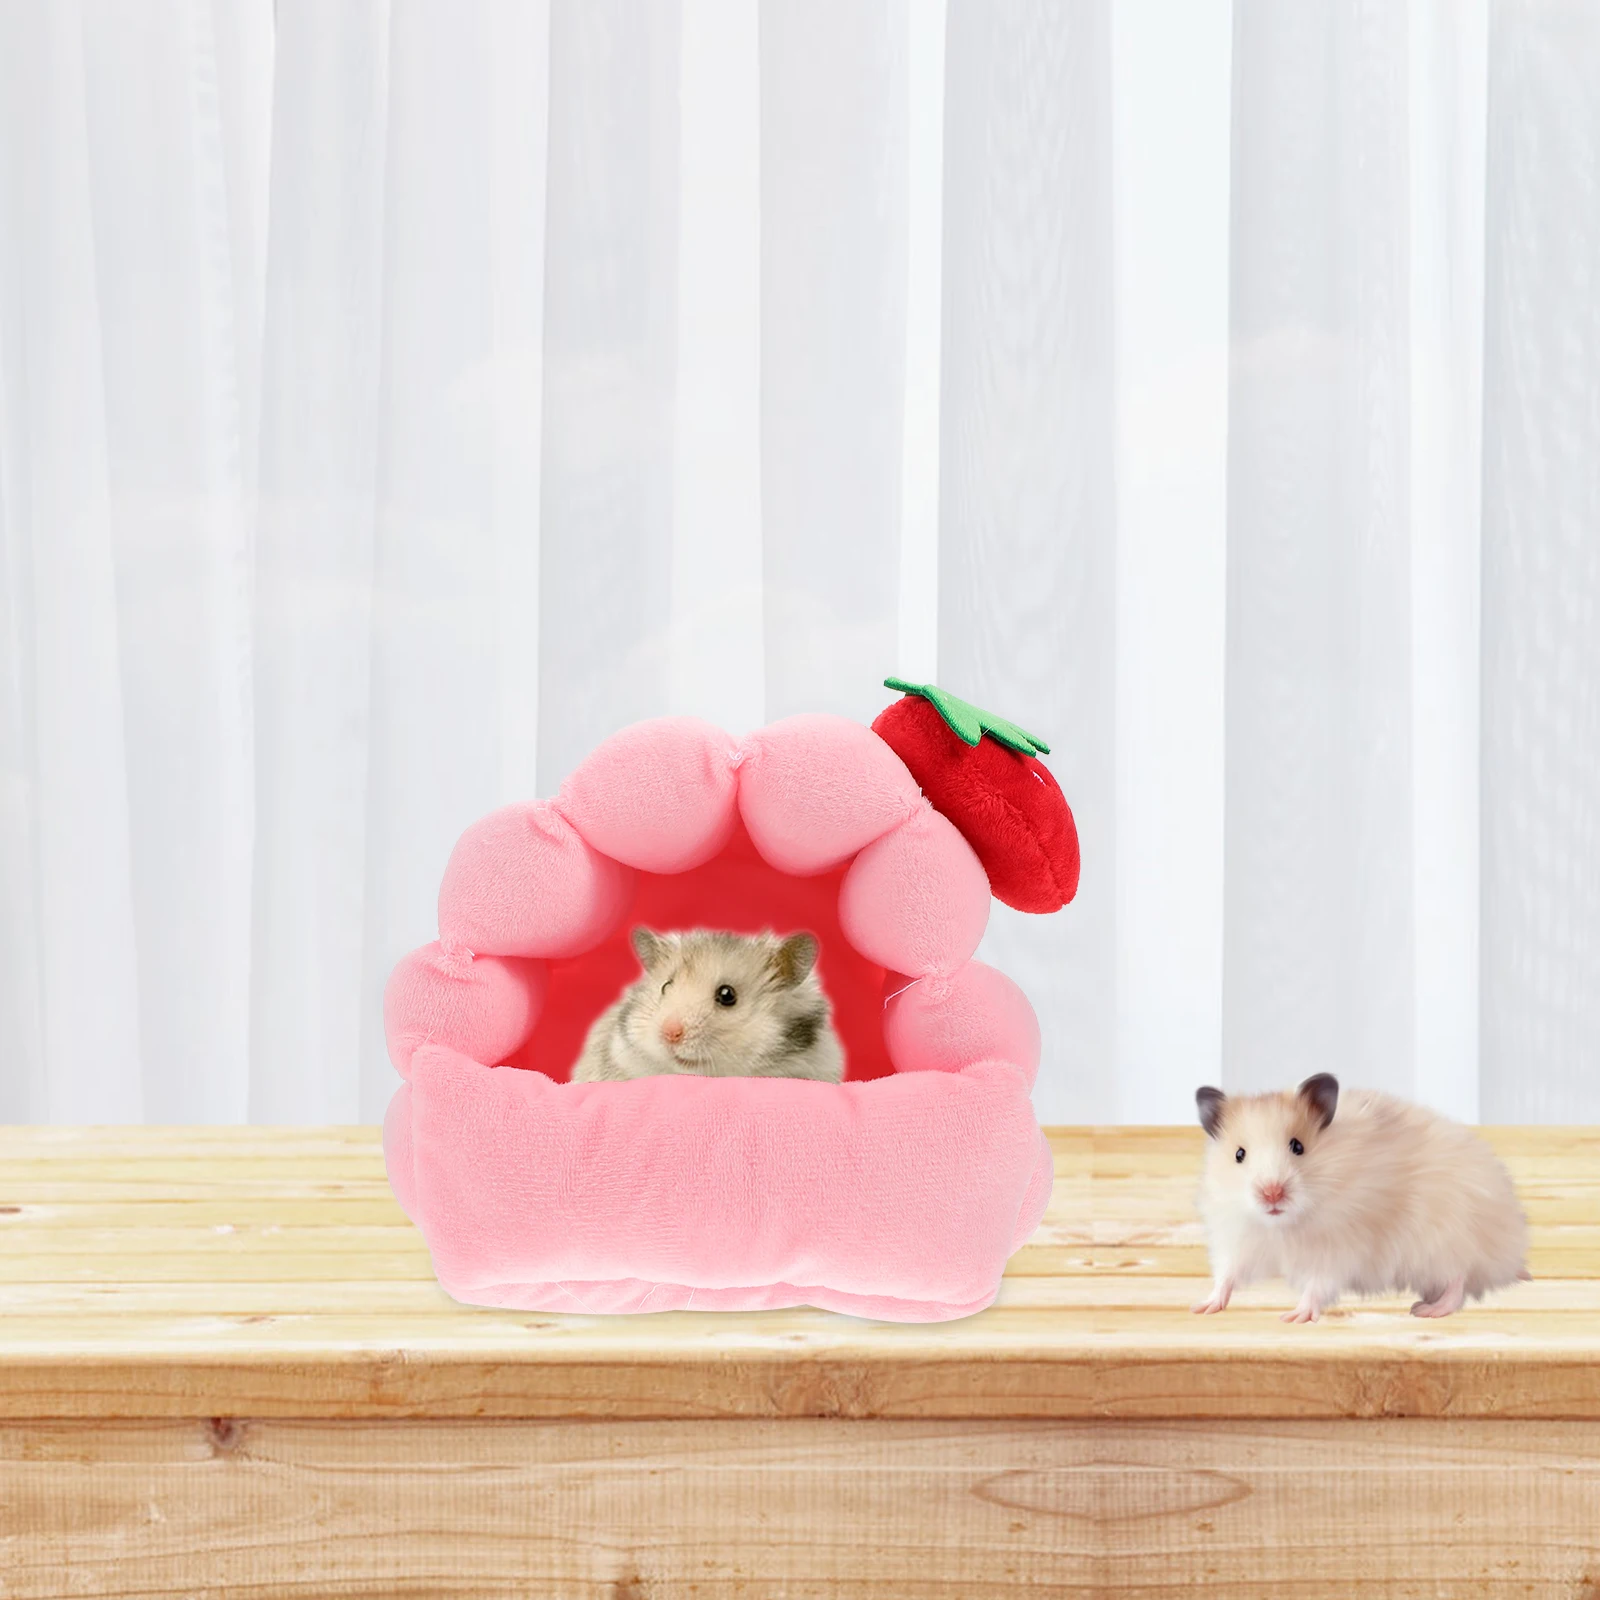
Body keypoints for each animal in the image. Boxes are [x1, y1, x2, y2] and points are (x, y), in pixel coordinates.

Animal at [1191, 1073, 1529, 1323]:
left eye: (1298, 1146)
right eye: (1239, 1154)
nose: (1271, 1192)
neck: (1284, 1225)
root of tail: (1510, 1253)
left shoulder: (1338, 1248)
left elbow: (1317, 1285)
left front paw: (1294, 1316)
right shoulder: (1239, 1239)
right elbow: (1227, 1275)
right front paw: (1203, 1307)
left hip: (1447, 1239)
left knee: (1459, 1279)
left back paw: (1427, 1310)